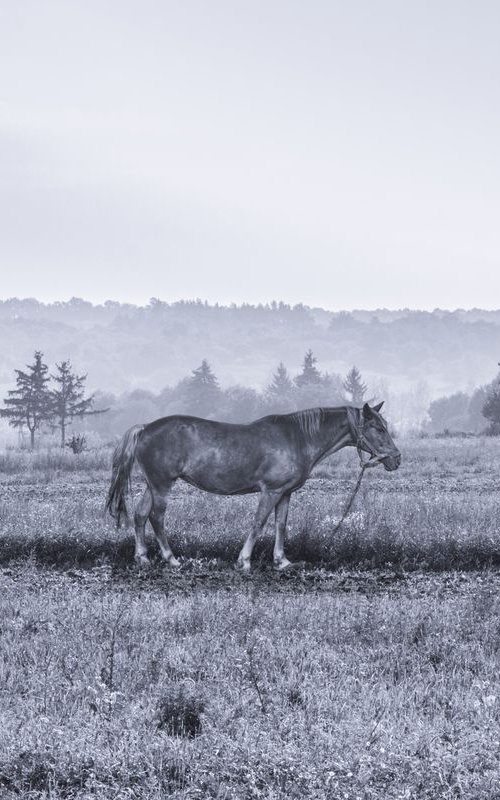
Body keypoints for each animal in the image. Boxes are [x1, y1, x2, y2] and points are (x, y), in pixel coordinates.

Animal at [105, 404, 398, 572]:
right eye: (377, 427)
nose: (396, 459)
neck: (298, 437)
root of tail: (144, 428)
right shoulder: (271, 491)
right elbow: (258, 523)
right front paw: (244, 561)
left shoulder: (285, 493)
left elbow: (280, 525)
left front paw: (282, 562)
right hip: (162, 485)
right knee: (157, 517)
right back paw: (171, 559)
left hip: (152, 485)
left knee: (140, 515)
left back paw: (142, 558)